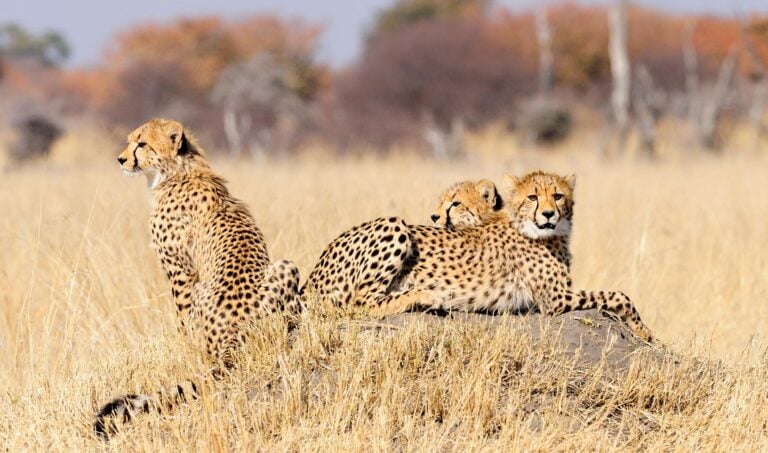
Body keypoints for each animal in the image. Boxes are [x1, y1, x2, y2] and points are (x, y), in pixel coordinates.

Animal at [94, 118, 302, 436]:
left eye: (142, 144)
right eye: (130, 141)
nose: (120, 159)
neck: (179, 170)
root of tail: (232, 340)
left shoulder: (181, 271)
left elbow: (182, 321)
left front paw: (183, 346)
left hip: (210, 287)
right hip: (286, 267)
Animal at [300, 171, 656, 340]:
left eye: (557, 195)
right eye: (533, 197)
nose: (549, 214)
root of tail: (312, 276)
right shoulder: (554, 300)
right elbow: (619, 294)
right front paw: (644, 332)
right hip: (393, 225)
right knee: (360, 304)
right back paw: (425, 296)